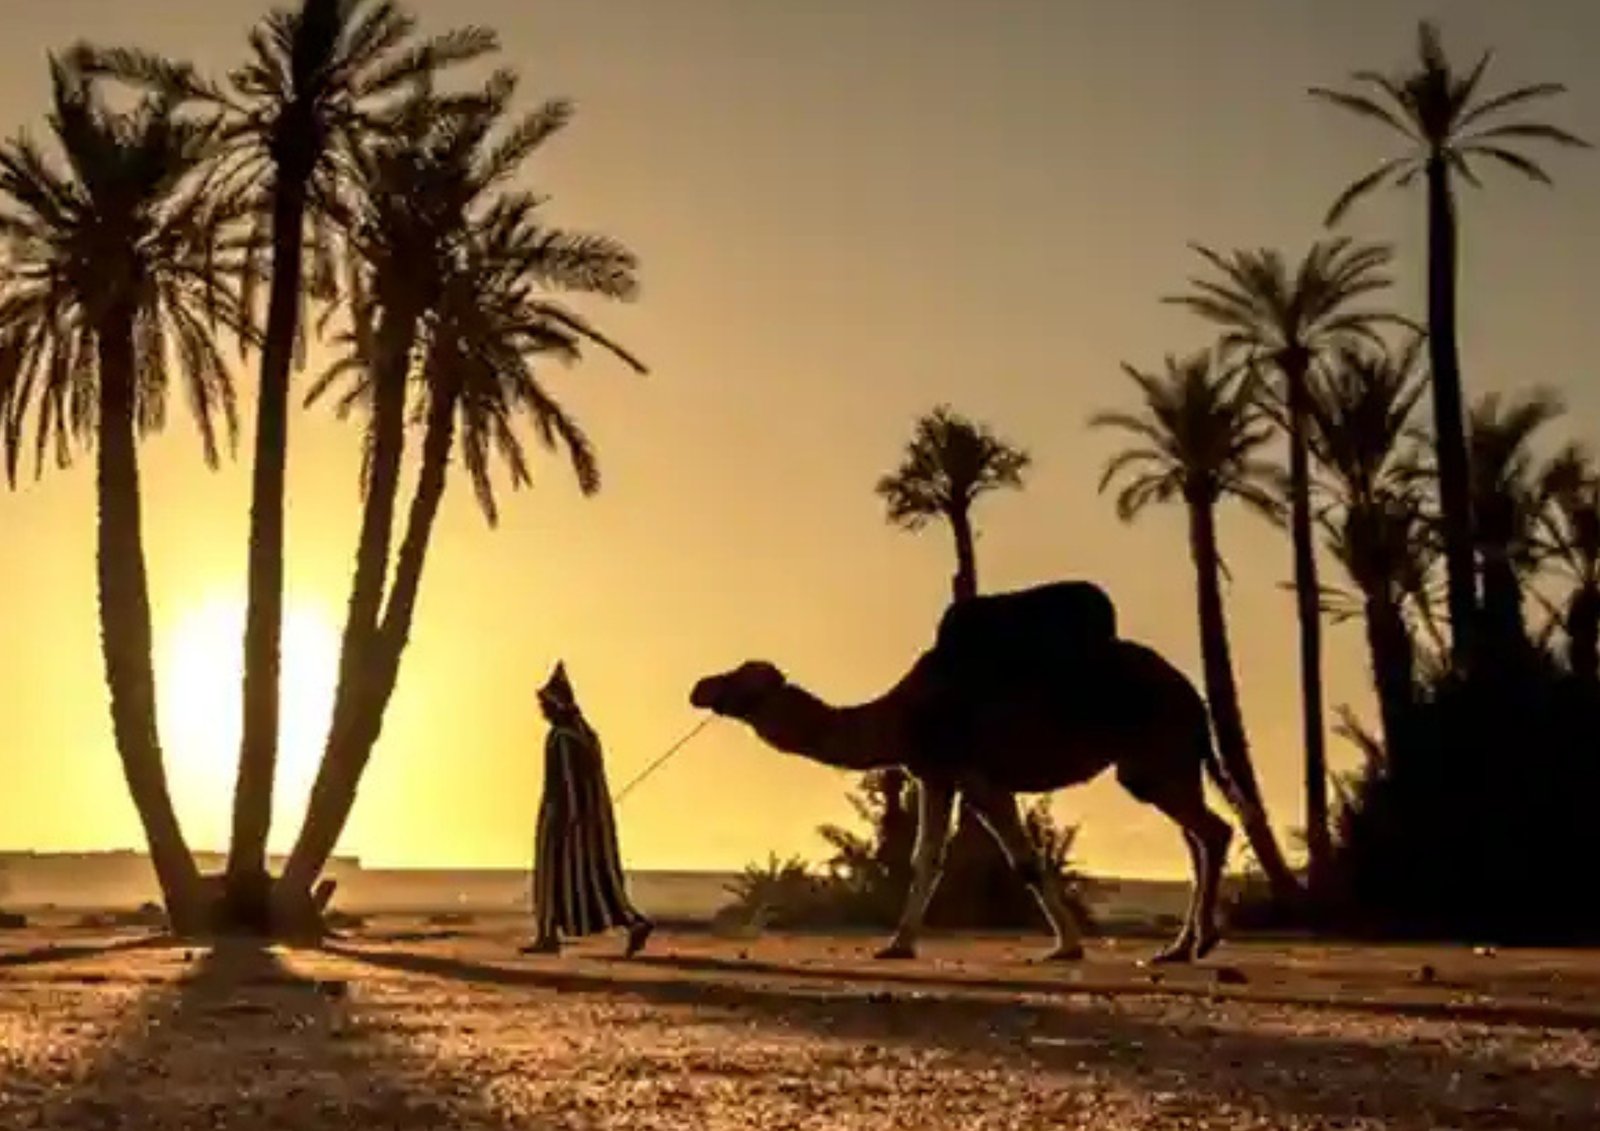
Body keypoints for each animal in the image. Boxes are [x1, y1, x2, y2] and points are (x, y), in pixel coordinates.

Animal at [689, 583, 1256, 964]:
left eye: (741, 680)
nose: (699, 687)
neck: (903, 714)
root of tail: (1195, 699)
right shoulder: (936, 775)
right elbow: (925, 859)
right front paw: (897, 944)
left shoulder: (976, 775)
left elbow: (1024, 861)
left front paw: (1067, 947)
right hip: (1166, 761)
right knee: (1197, 836)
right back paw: (1182, 945)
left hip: (1153, 754)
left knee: (1212, 830)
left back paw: (1199, 943)